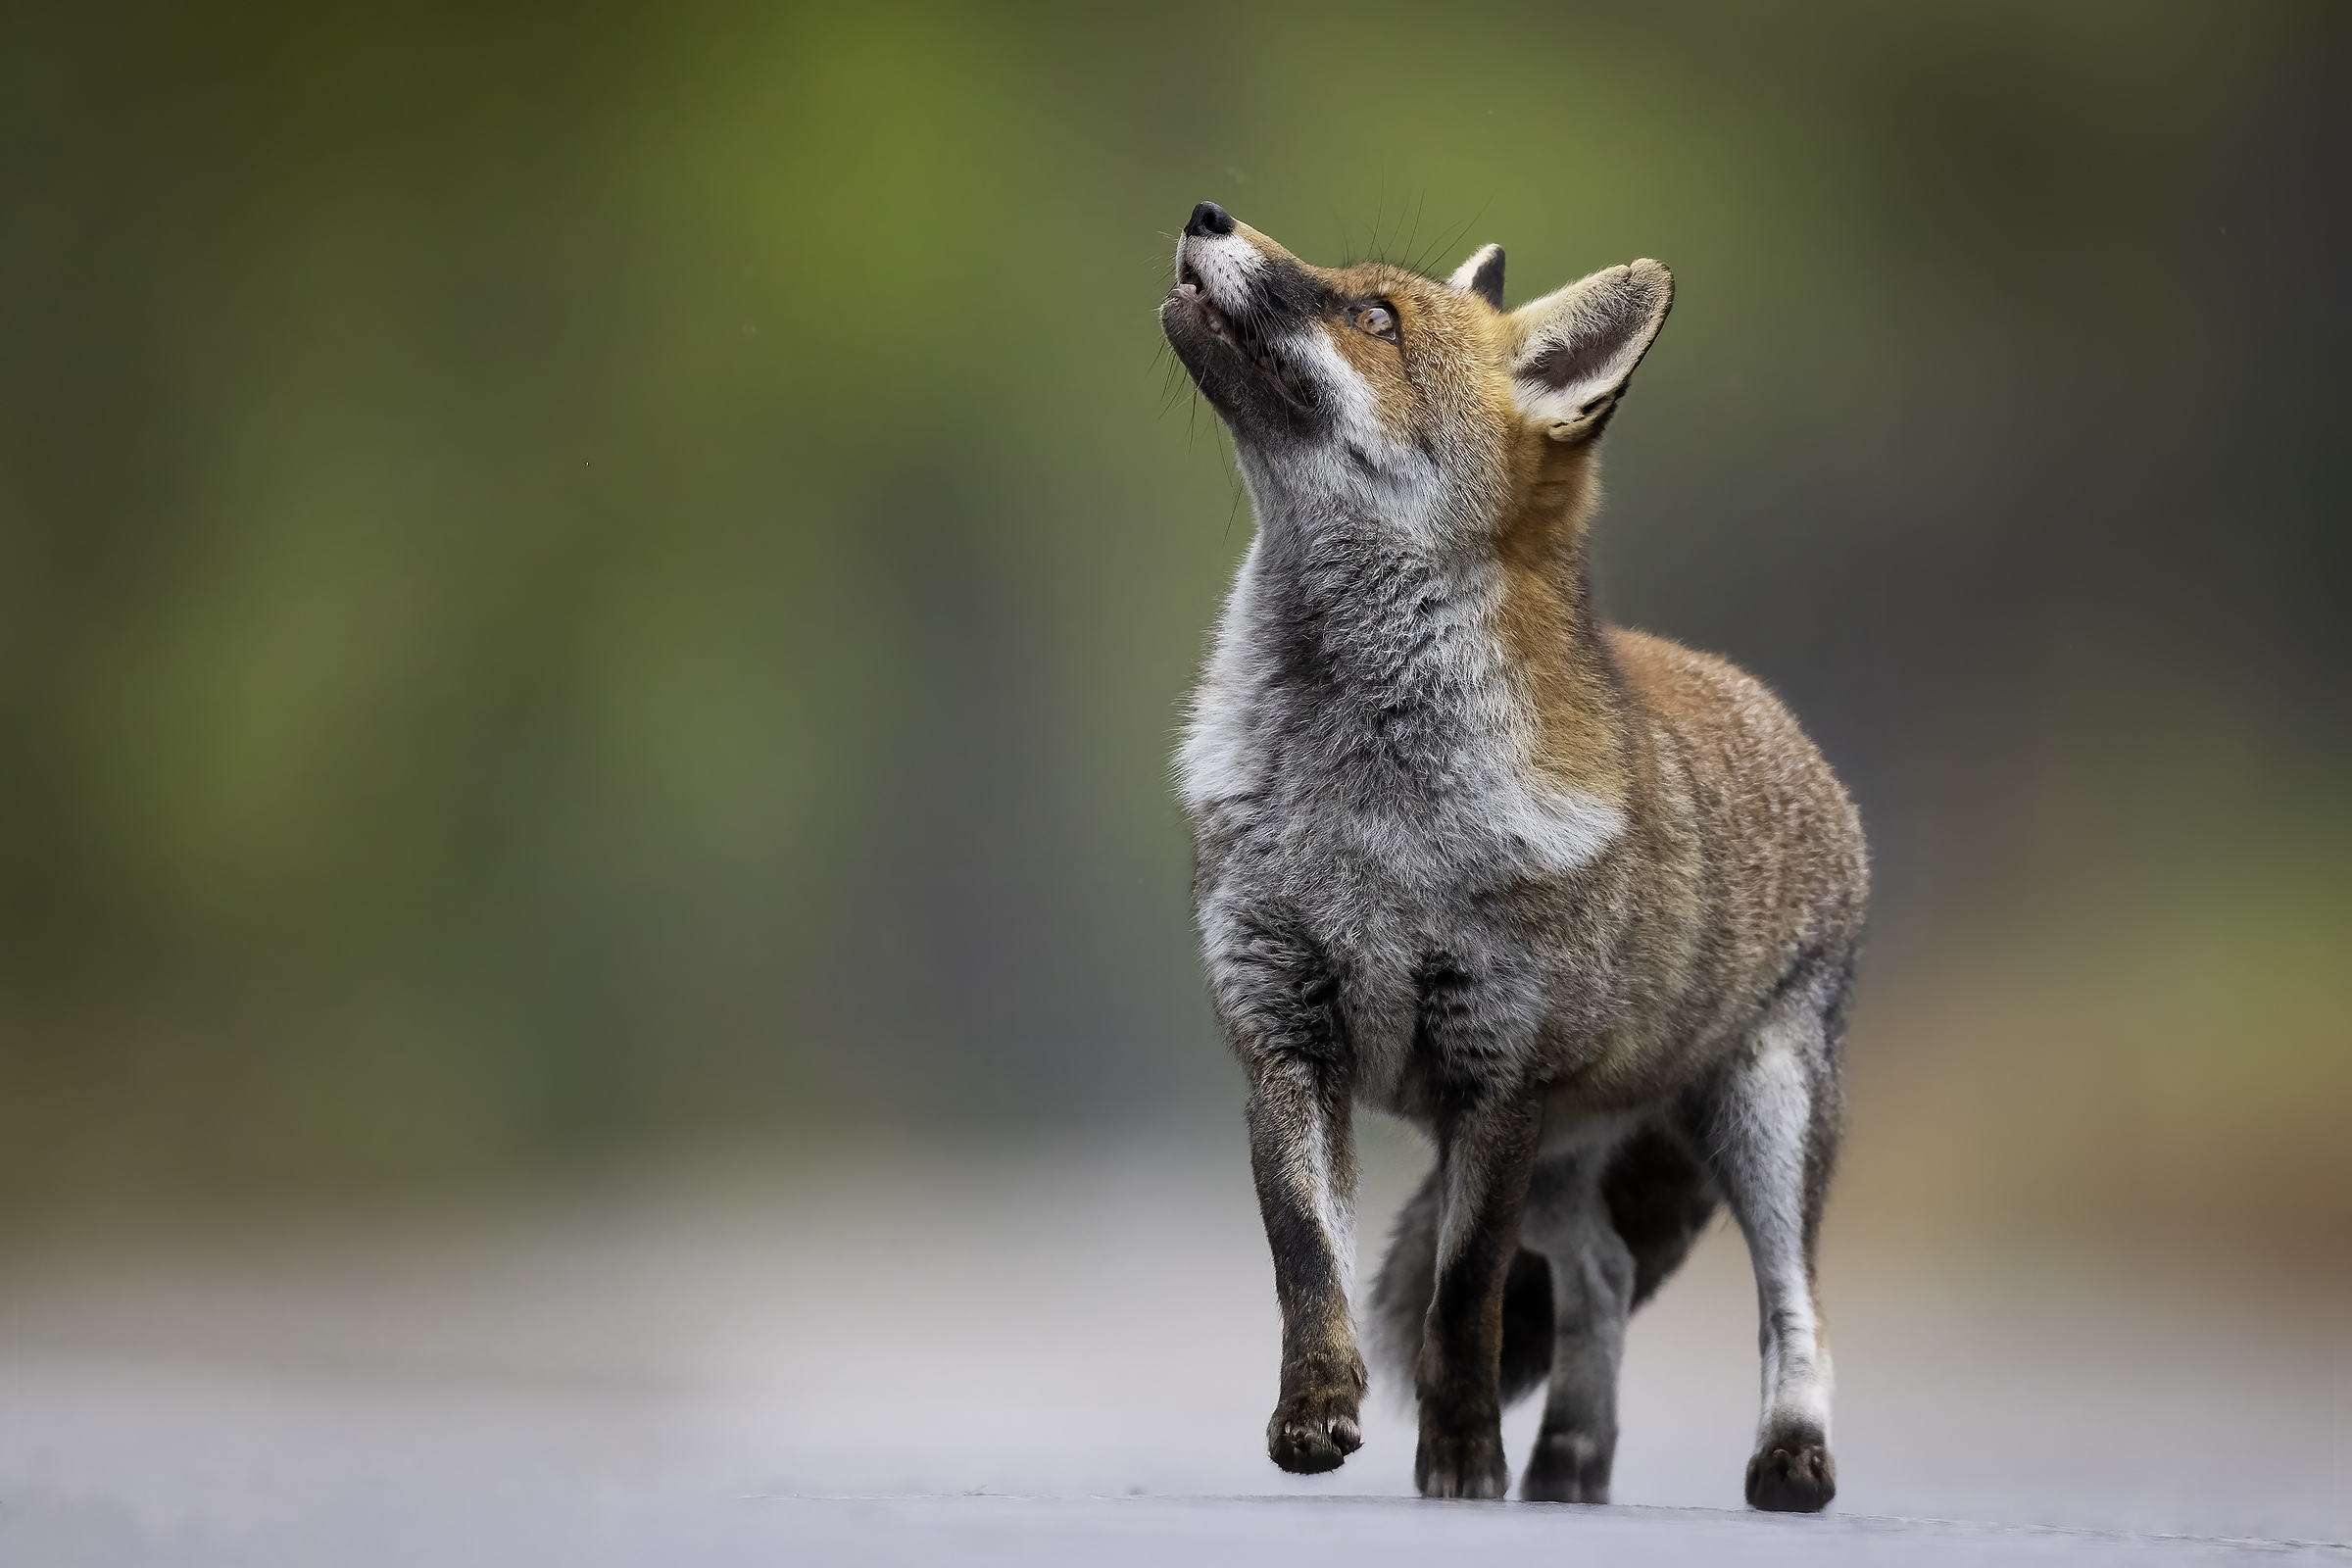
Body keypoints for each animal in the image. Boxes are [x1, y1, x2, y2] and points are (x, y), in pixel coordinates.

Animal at [1158, 200, 1866, 1510]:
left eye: (1376, 316)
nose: (1206, 214)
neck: (1369, 816)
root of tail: (1781, 718)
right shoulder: (1287, 1038)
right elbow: (1311, 1267)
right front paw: (1316, 1415)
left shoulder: (1496, 1075)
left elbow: (1464, 1306)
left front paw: (1462, 1458)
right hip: (1562, 1157)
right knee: (1602, 1277)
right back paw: (1572, 1458)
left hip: (1762, 1118)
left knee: (1793, 1305)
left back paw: (1789, 1457)